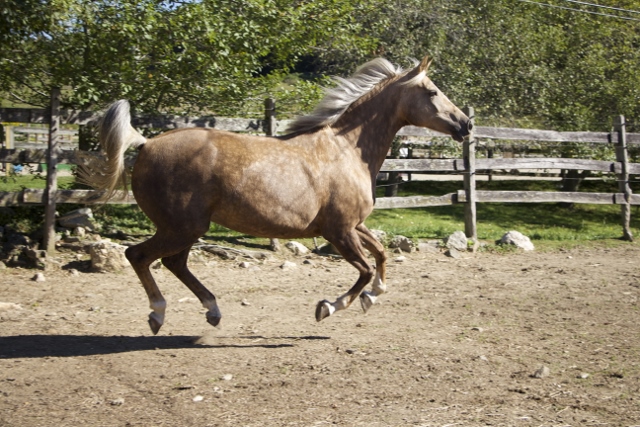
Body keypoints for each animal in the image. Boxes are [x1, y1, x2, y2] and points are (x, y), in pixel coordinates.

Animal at [79, 54, 470, 334]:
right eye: (432, 91)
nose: (465, 124)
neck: (347, 149)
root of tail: (145, 143)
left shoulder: (353, 225)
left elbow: (382, 254)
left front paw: (373, 297)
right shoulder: (339, 230)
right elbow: (362, 269)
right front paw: (329, 307)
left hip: (186, 228)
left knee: (175, 263)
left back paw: (212, 311)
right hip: (181, 227)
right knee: (138, 255)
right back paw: (158, 315)